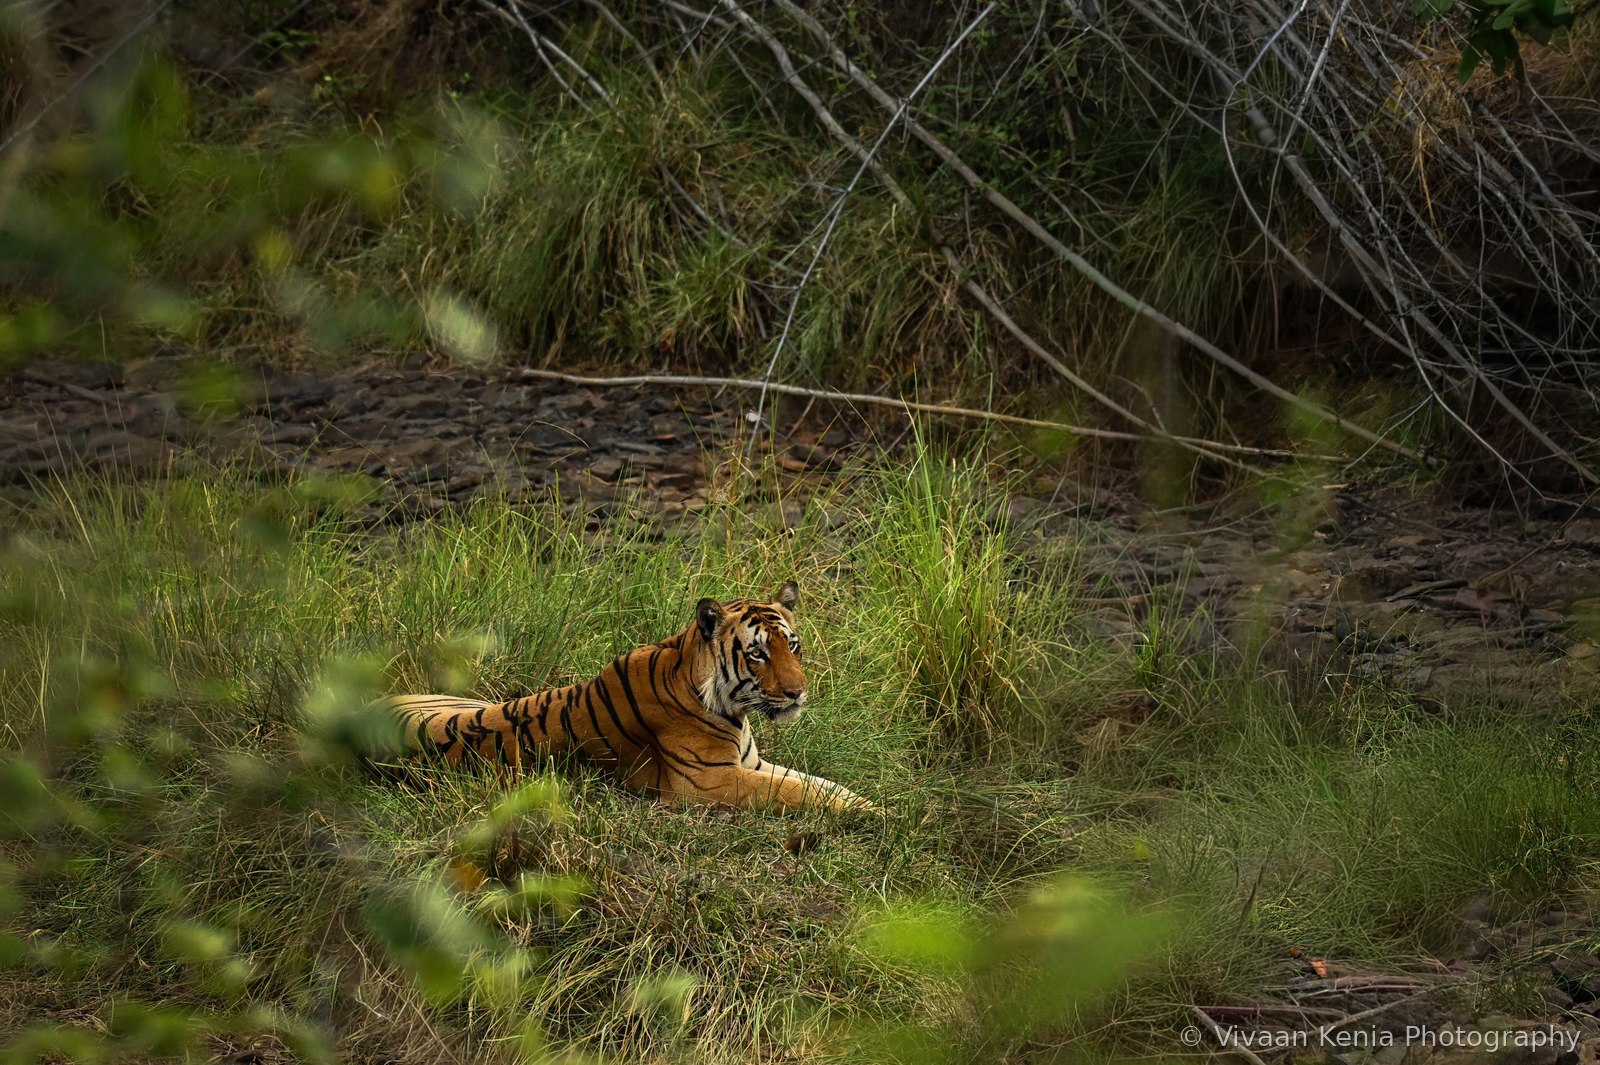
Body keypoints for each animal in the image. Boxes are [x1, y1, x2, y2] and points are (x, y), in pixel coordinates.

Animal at [378, 582, 877, 815]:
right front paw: (874, 814)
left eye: (792, 646)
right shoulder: (709, 781)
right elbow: (794, 791)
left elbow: (818, 783)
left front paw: (866, 803)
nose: (798, 692)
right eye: (757, 653)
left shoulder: (750, 763)